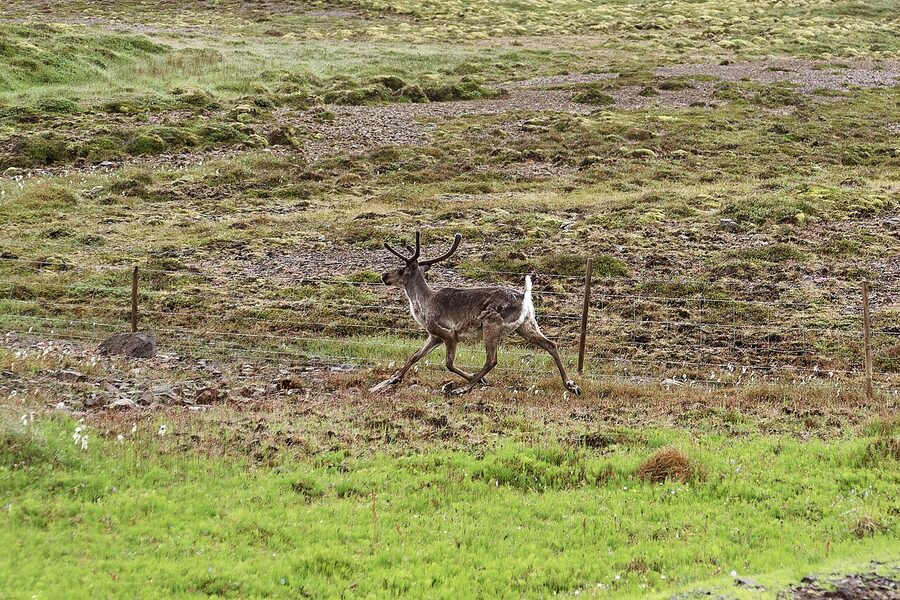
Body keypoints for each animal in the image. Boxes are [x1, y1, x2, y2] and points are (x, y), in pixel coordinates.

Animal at [369, 231, 582, 397]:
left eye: (400, 269)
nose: (384, 276)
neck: (424, 306)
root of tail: (525, 297)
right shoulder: (434, 336)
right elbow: (414, 356)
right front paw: (392, 380)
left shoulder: (448, 334)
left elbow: (448, 363)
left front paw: (479, 380)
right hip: (526, 325)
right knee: (551, 345)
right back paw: (572, 385)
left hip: (491, 325)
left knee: (492, 360)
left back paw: (463, 389)